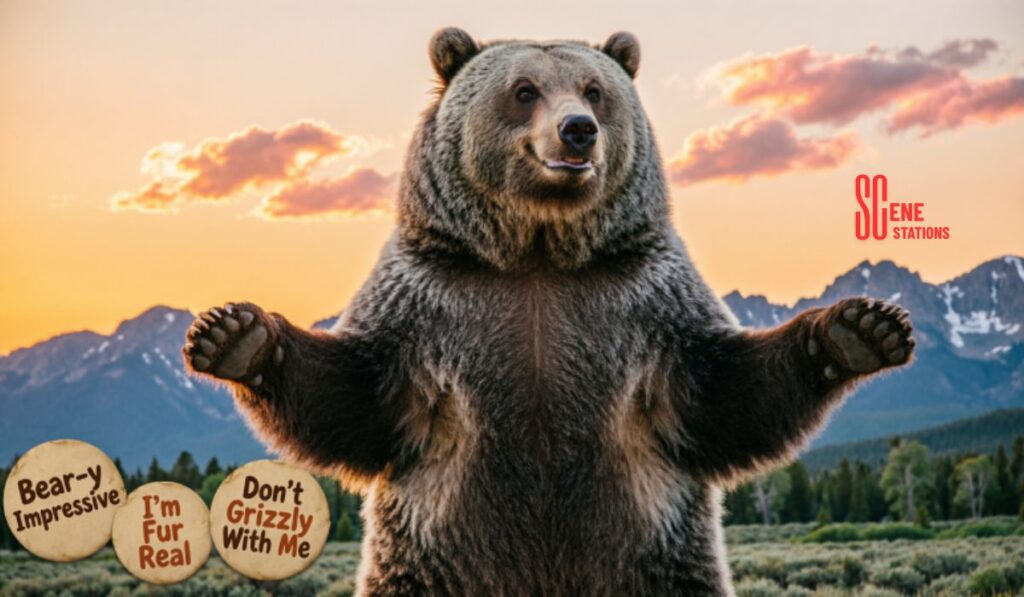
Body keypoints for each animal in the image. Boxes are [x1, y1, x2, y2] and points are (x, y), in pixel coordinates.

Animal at [183, 28, 915, 596]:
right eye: (524, 89)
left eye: (594, 90)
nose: (578, 130)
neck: (538, 253)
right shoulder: (432, 297)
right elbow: (357, 395)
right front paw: (235, 334)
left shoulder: (641, 297)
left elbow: (723, 393)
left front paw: (861, 328)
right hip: (425, 567)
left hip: (663, 566)